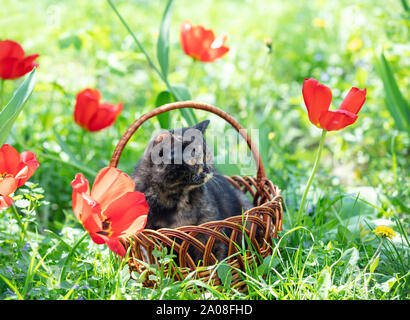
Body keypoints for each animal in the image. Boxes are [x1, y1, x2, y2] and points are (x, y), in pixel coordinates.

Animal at [133, 120, 251, 262]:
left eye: (208, 156)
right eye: (193, 159)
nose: (207, 169)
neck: (178, 197)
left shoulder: (210, 230)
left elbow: (214, 259)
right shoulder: (149, 235)